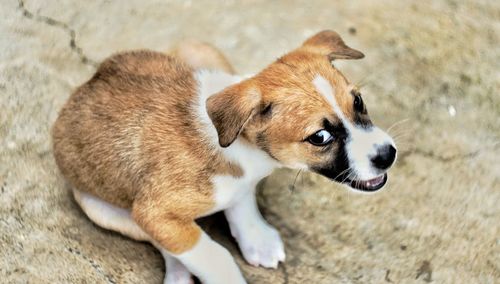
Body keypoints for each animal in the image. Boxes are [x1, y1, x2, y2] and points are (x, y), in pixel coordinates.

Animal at [52, 31, 396, 284]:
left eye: (359, 101)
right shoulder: (154, 212)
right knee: (163, 244)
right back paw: (178, 276)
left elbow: (241, 201)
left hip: (200, 50)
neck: (244, 148)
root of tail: (88, 82)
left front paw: (257, 239)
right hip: (102, 209)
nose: (387, 155)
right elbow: (213, 255)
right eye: (320, 137)